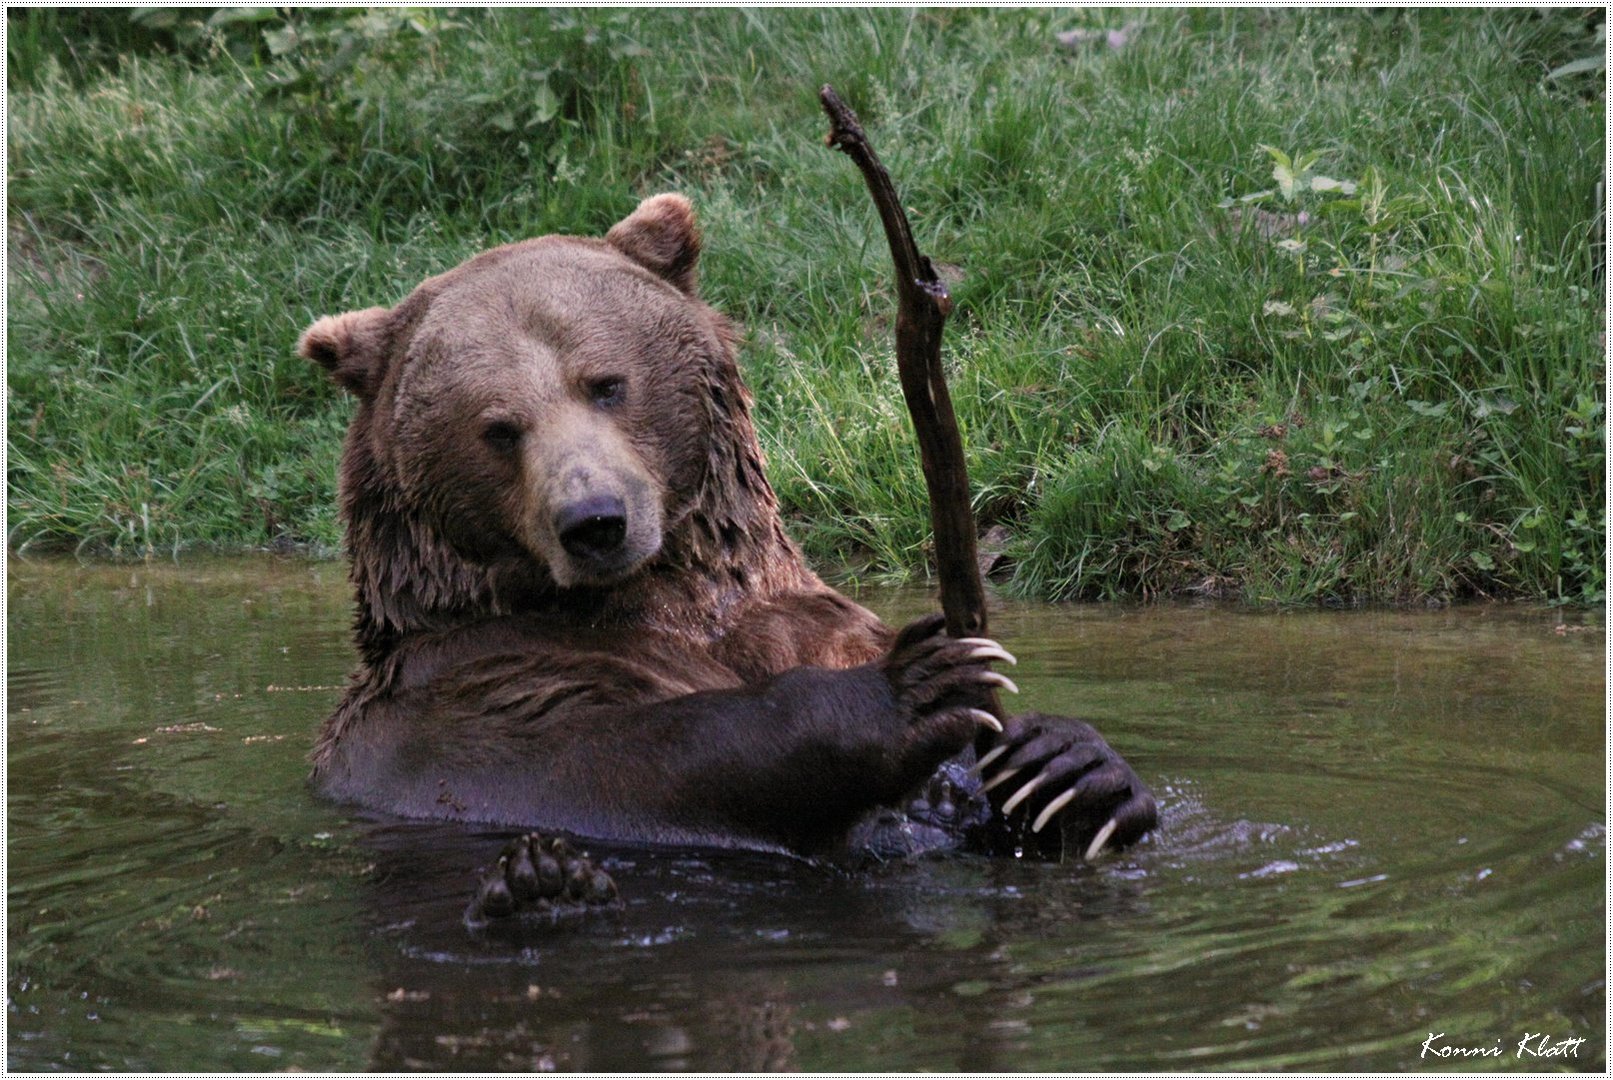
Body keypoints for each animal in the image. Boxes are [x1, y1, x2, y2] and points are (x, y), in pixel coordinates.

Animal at [300, 195, 1161, 883]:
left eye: (605, 383)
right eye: (499, 428)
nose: (595, 522)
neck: (668, 595)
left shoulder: (797, 619)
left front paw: (1064, 764)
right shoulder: (473, 698)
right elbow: (647, 752)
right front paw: (913, 685)